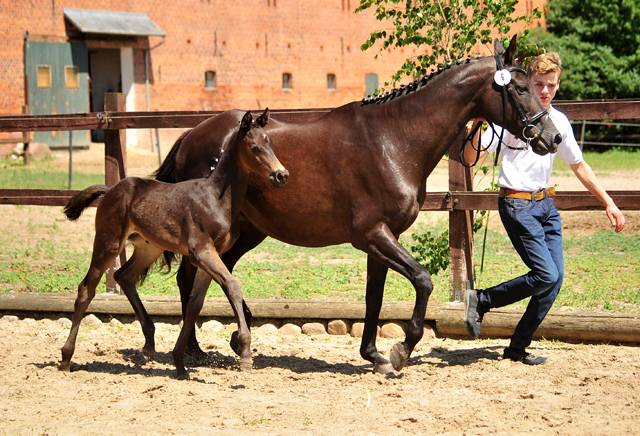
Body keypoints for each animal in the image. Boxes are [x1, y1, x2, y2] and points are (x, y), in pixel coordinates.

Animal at [60, 109, 288, 378]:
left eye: (270, 143)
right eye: (254, 147)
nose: (281, 175)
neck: (216, 198)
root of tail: (110, 189)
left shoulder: (212, 255)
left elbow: (195, 304)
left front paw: (179, 362)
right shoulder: (201, 251)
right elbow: (232, 286)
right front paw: (244, 353)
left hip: (149, 247)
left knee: (124, 276)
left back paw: (149, 344)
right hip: (108, 243)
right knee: (86, 289)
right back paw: (66, 358)